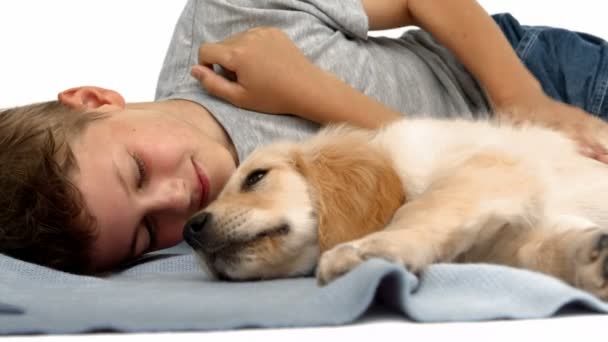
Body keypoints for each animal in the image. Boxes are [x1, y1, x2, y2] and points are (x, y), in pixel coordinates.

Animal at [183, 118, 608, 300]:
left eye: (256, 177)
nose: (190, 229)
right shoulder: (510, 237)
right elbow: (541, 251)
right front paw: (592, 260)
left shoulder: (490, 168)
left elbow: (423, 207)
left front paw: (369, 249)